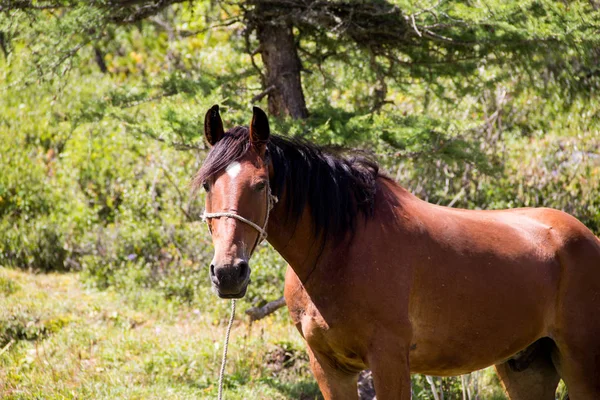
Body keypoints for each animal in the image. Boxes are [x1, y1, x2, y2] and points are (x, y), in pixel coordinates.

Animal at [196, 106, 600, 400]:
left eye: (261, 184)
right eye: (207, 184)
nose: (229, 273)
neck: (340, 250)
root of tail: (587, 238)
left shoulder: (389, 359)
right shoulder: (328, 366)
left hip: (580, 366)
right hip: (527, 366)